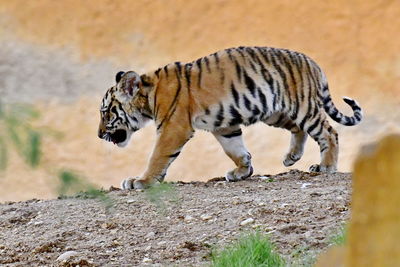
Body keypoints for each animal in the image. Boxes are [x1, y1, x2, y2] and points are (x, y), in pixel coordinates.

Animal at [97, 46, 362, 191]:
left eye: (106, 112)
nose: (99, 135)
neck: (148, 96)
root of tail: (313, 62)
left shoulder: (173, 128)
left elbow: (158, 156)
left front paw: (141, 181)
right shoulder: (223, 126)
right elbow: (235, 149)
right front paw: (243, 171)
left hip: (303, 106)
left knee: (328, 132)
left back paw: (326, 166)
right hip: (276, 112)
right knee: (299, 129)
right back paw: (291, 157)